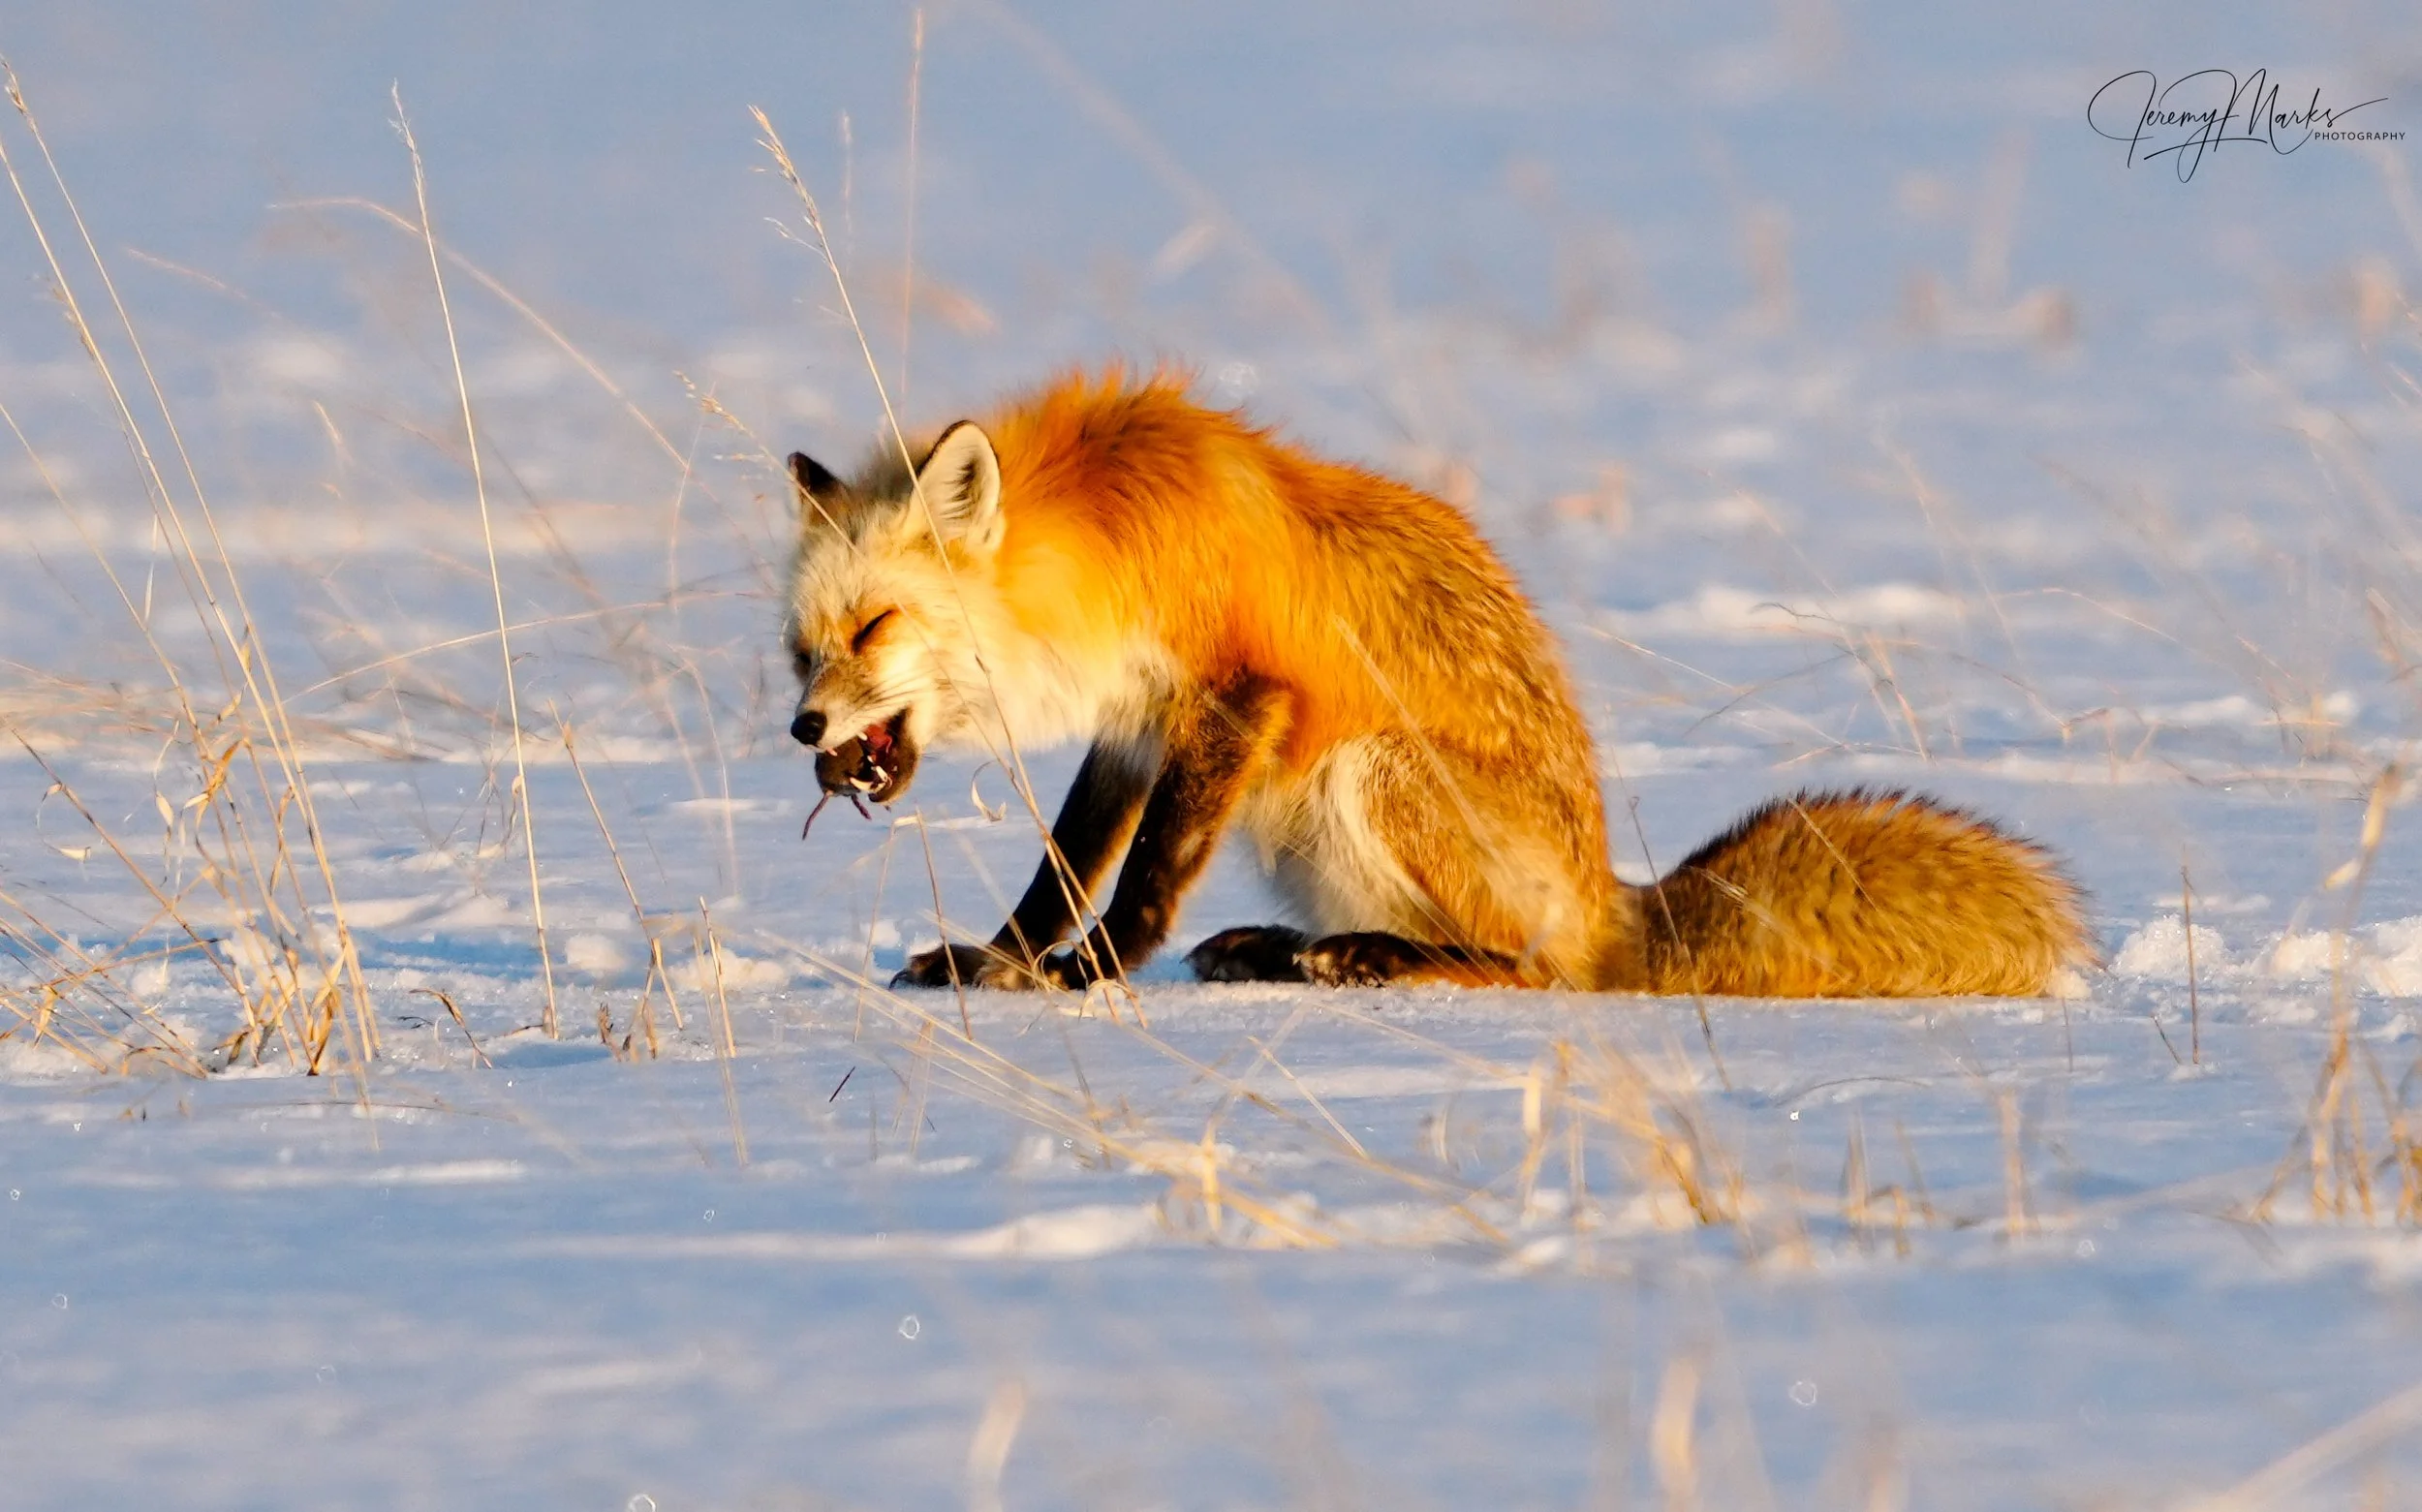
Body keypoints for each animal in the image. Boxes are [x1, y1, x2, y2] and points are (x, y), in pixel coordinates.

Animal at [782, 367, 2096, 996]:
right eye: (803, 648)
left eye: (875, 625)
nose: (803, 728)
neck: (1112, 538)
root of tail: (1617, 901)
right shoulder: (1136, 726)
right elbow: (1062, 868)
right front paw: (1000, 962)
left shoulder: (1236, 694)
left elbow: (1145, 876)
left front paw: (1090, 975)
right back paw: (1284, 949)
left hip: (1369, 769)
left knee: (1536, 970)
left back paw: (1366, 960)